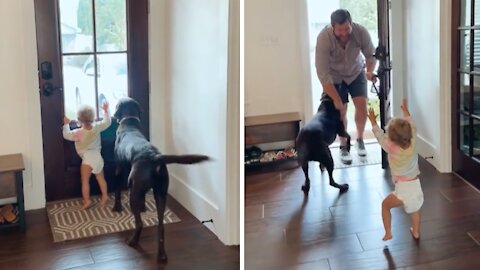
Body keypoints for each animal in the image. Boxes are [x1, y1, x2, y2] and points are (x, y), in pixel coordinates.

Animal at [113, 97, 209, 262]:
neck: (129, 122)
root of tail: (155, 157)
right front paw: (144, 207)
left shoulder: (119, 169)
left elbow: (117, 189)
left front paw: (116, 207)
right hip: (161, 193)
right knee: (160, 226)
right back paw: (162, 255)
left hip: (135, 190)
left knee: (139, 223)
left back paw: (133, 241)